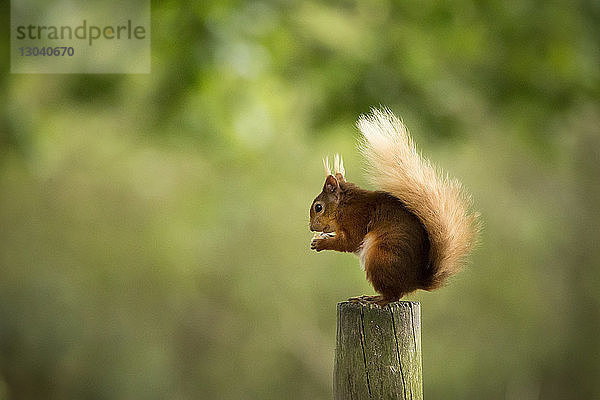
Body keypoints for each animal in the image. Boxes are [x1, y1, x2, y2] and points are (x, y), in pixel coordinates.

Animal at [310, 107, 478, 306]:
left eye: (318, 207)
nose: (311, 227)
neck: (344, 206)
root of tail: (414, 281)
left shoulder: (356, 218)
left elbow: (350, 242)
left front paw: (321, 242)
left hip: (381, 258)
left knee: (393, 296)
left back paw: (374, 299)